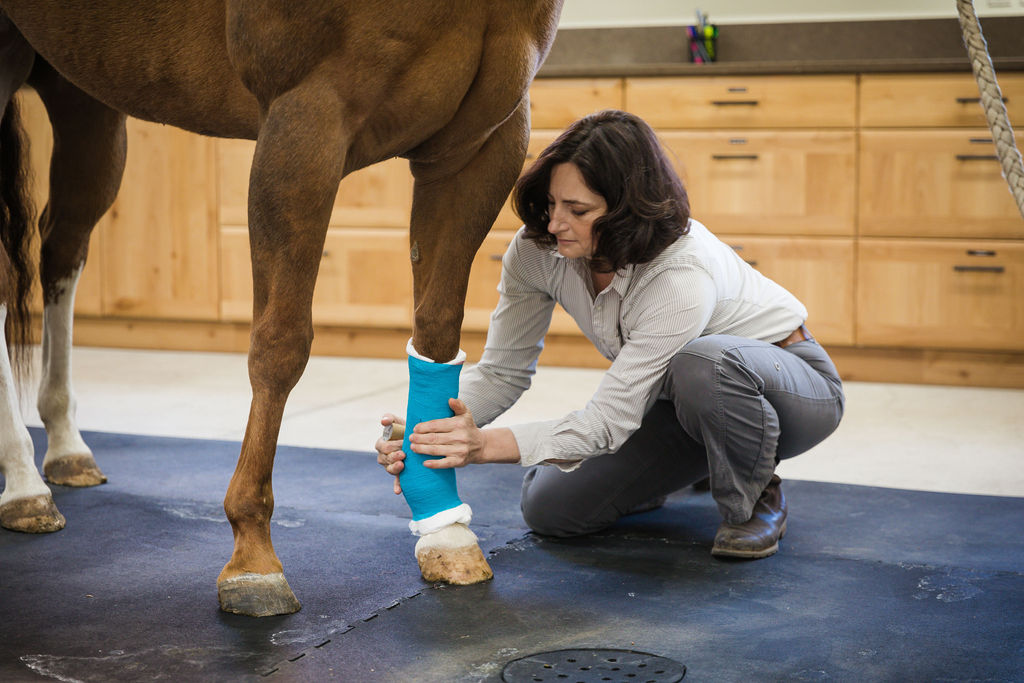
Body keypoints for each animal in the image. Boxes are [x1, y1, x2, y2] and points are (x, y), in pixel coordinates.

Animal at [0, 0, 561, 618]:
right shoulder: (305, 119)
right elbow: (280, 344)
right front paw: (253, 555)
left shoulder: (480, 140)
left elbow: (436, 332)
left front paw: (445, 531)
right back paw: (23, 486)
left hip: (84, 96)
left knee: (62, 249)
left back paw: (65, 448)